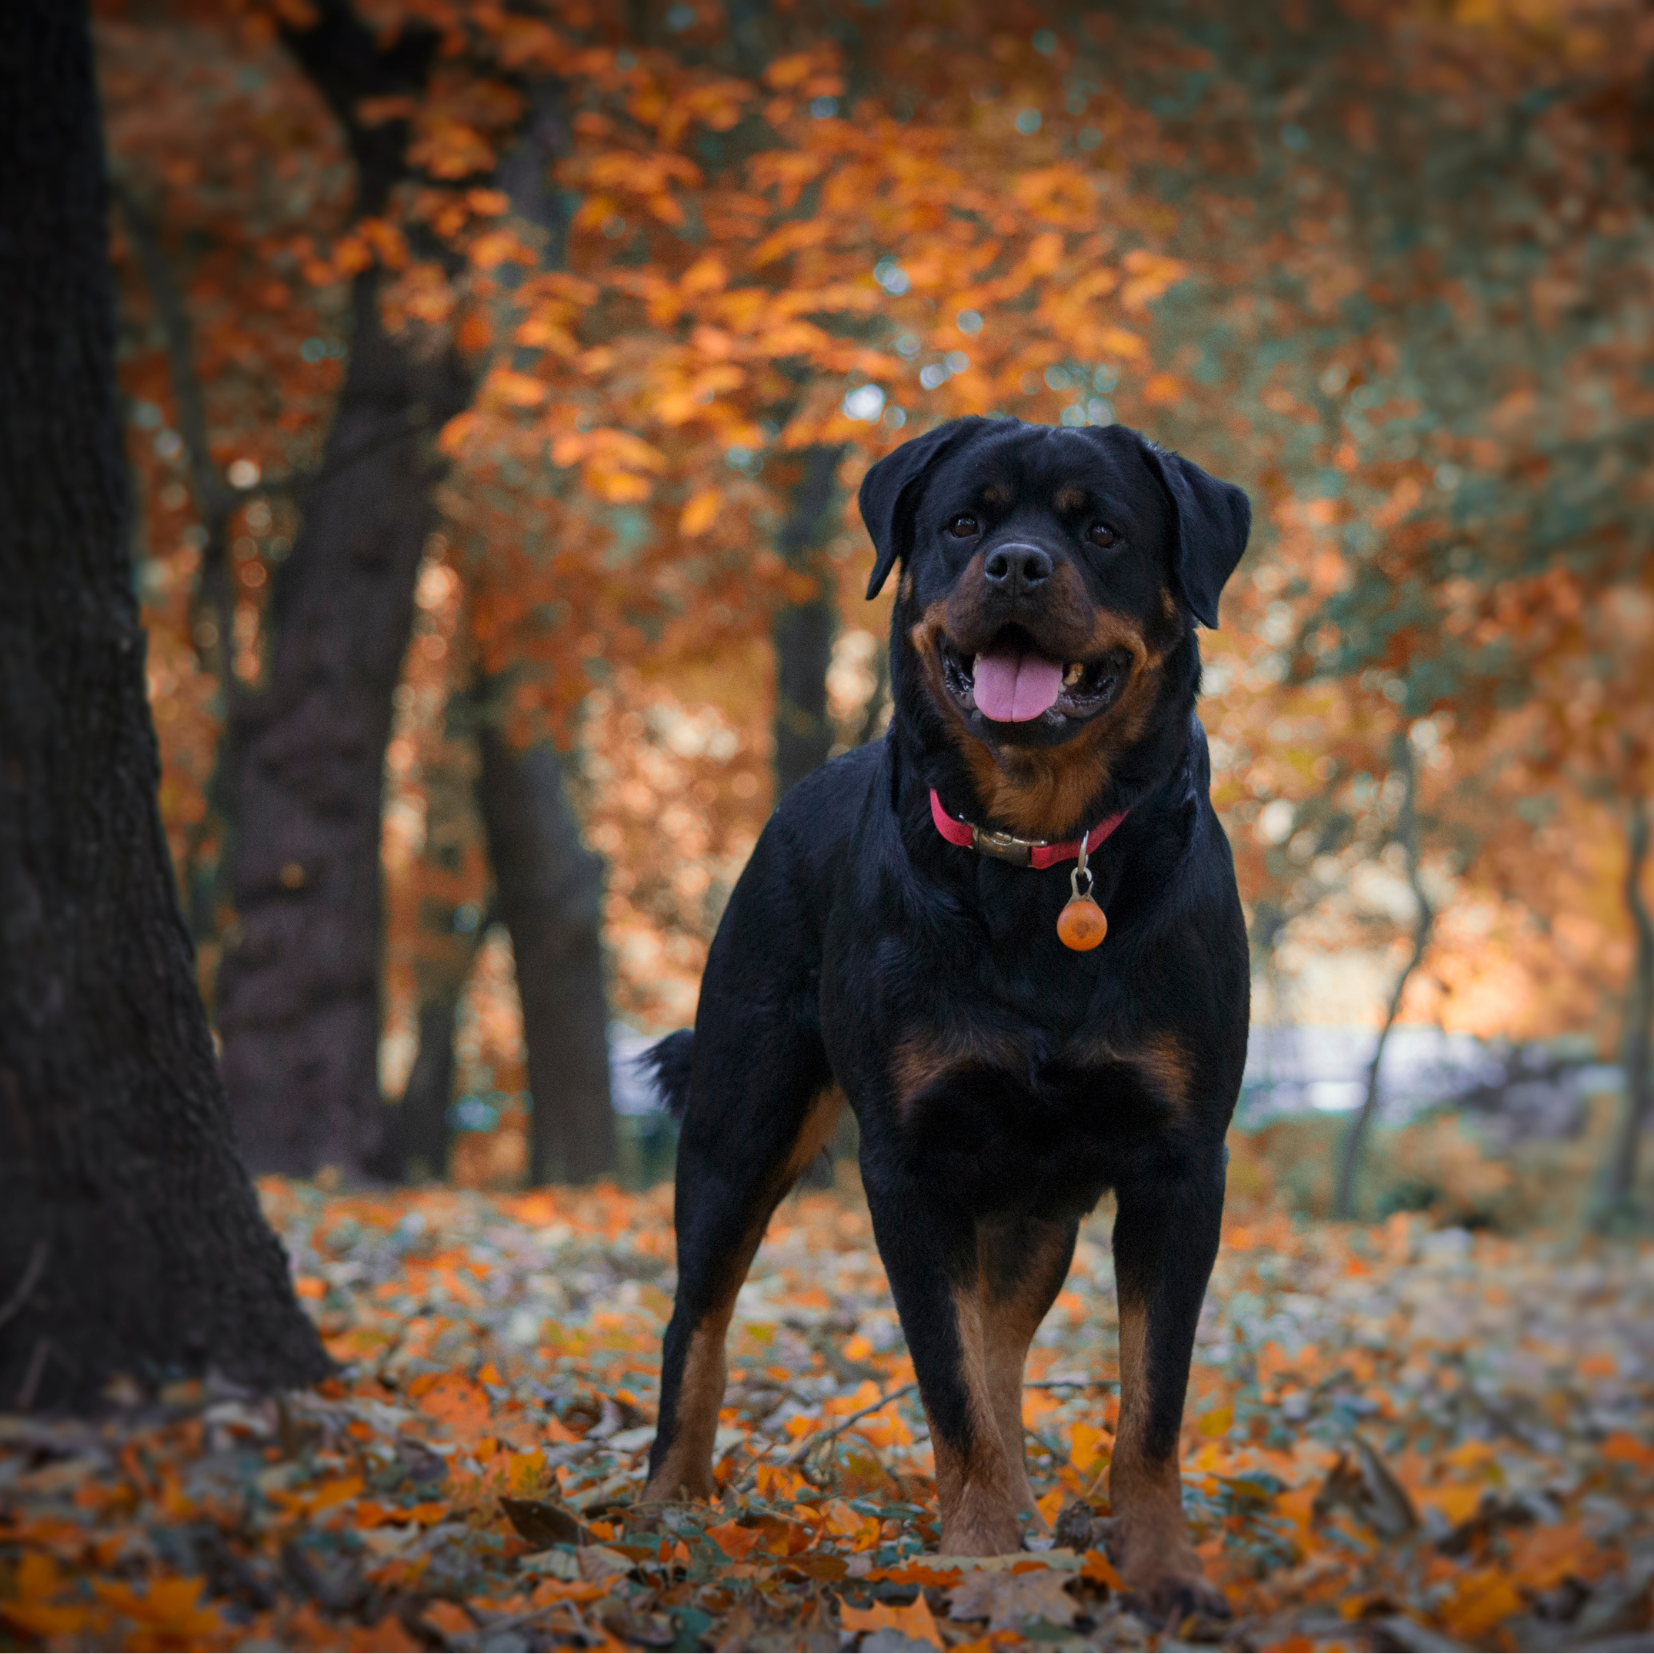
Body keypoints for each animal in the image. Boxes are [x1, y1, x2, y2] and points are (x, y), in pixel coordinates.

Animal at [638, 413, 1243, 1614]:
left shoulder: (1180, 1163)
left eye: (1103, 530)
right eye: (965, 522)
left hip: (1037, 1201)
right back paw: (665, 1510)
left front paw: (1157, 1564)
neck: (1044, 857)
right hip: (742, 1122)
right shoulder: (909, 1168)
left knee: (1002, 1343)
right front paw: (985, 1565)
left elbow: (1146, 1397)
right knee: (699, 1319)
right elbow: (946, 1384)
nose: (1015, 565)